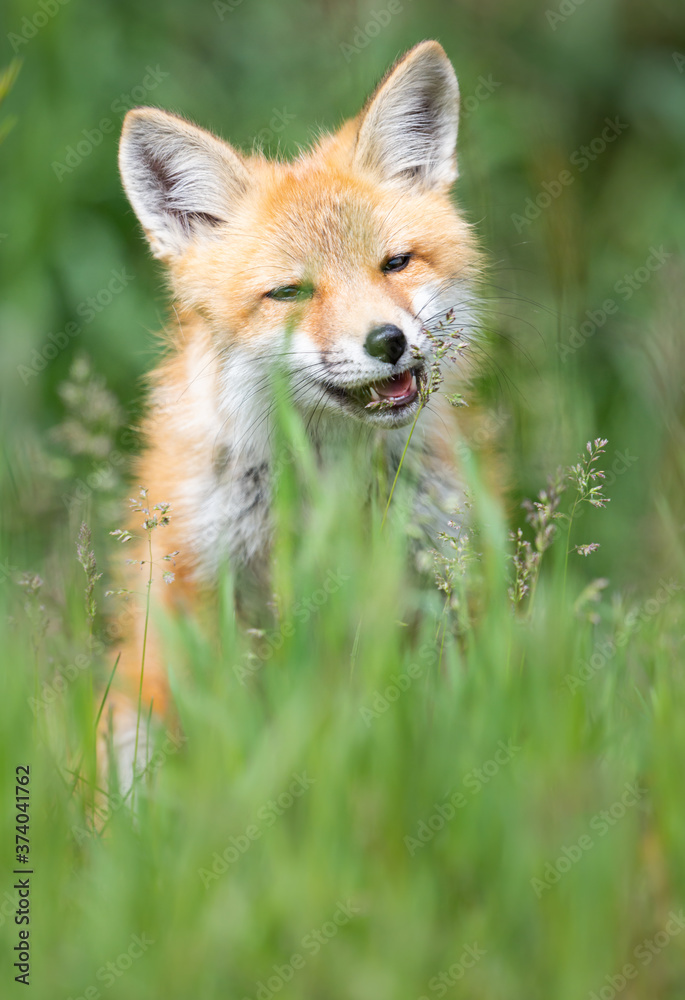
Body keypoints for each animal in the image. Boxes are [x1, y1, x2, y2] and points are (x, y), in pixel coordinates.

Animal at [106, 40, 484, 785]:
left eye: (395, 263)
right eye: (290, 293)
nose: (387, 341)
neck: (325, 484)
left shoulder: (432, 575)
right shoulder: (208, 590)